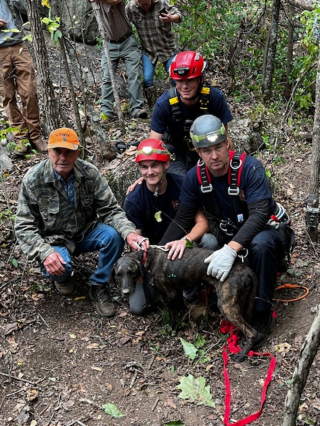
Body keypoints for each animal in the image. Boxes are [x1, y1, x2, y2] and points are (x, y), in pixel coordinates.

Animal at [112, 246, 258, 360]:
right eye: (118, 274)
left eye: (132, 272)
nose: (125, 292)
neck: (147, 258)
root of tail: (247, 270)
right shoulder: (177, 293)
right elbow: (180, 309)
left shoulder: (170, 294)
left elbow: (172, 317)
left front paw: (171, 330)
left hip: (226, 306)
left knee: (252, 332)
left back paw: (241, 355)